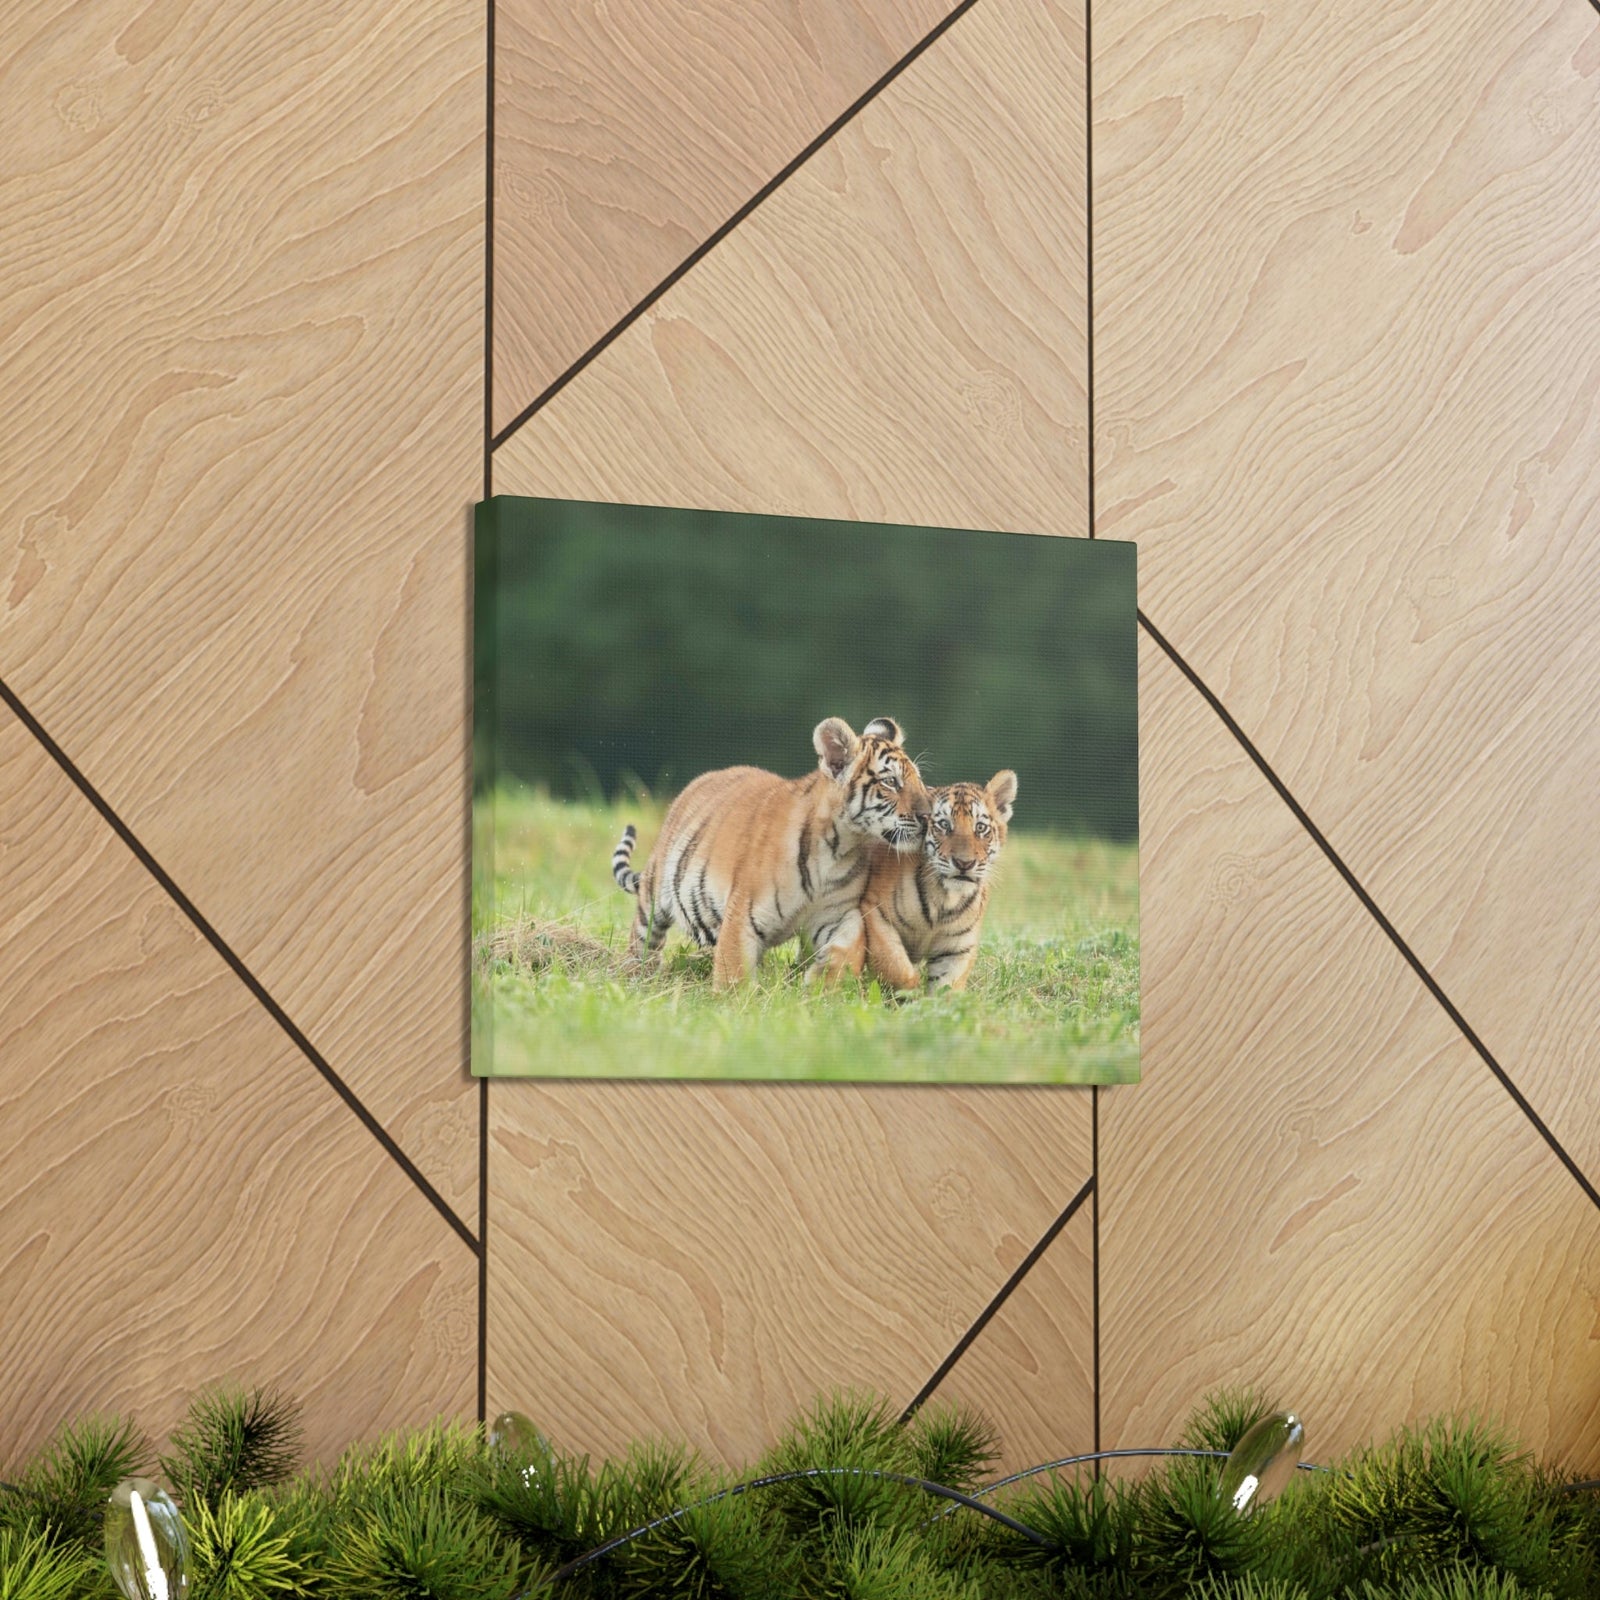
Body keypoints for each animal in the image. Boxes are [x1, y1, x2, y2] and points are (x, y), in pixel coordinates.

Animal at [611, 716, 931, 990]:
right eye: (890, 782)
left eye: (918, 779)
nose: (928, 816)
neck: (840, 847)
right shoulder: (742, 915)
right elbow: (734, 974)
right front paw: (735, 1005)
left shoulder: (838, 913)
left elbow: (851, 946)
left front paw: (822, 984)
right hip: (654, 899)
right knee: (643, 940)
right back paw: (636, 976)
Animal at [859, 771, 1018, 992]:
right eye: (944, 825)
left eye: (980, 828)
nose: (964, 863)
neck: (945, 898)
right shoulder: (876, 914)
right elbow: (895, 966)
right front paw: (911, 992)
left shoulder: (957, 948)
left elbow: (946, 988)